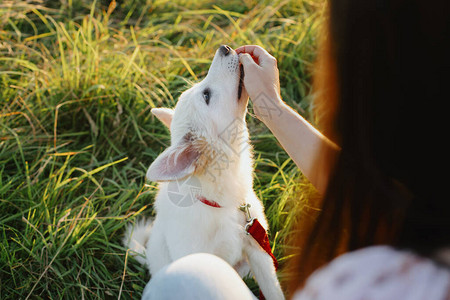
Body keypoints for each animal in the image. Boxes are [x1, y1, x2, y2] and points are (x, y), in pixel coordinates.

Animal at [123, 44, 284, 300]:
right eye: (206, 95)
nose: (224, 48)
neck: (225, 205)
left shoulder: (258, 252)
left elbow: (273, 290)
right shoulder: (200, 261)